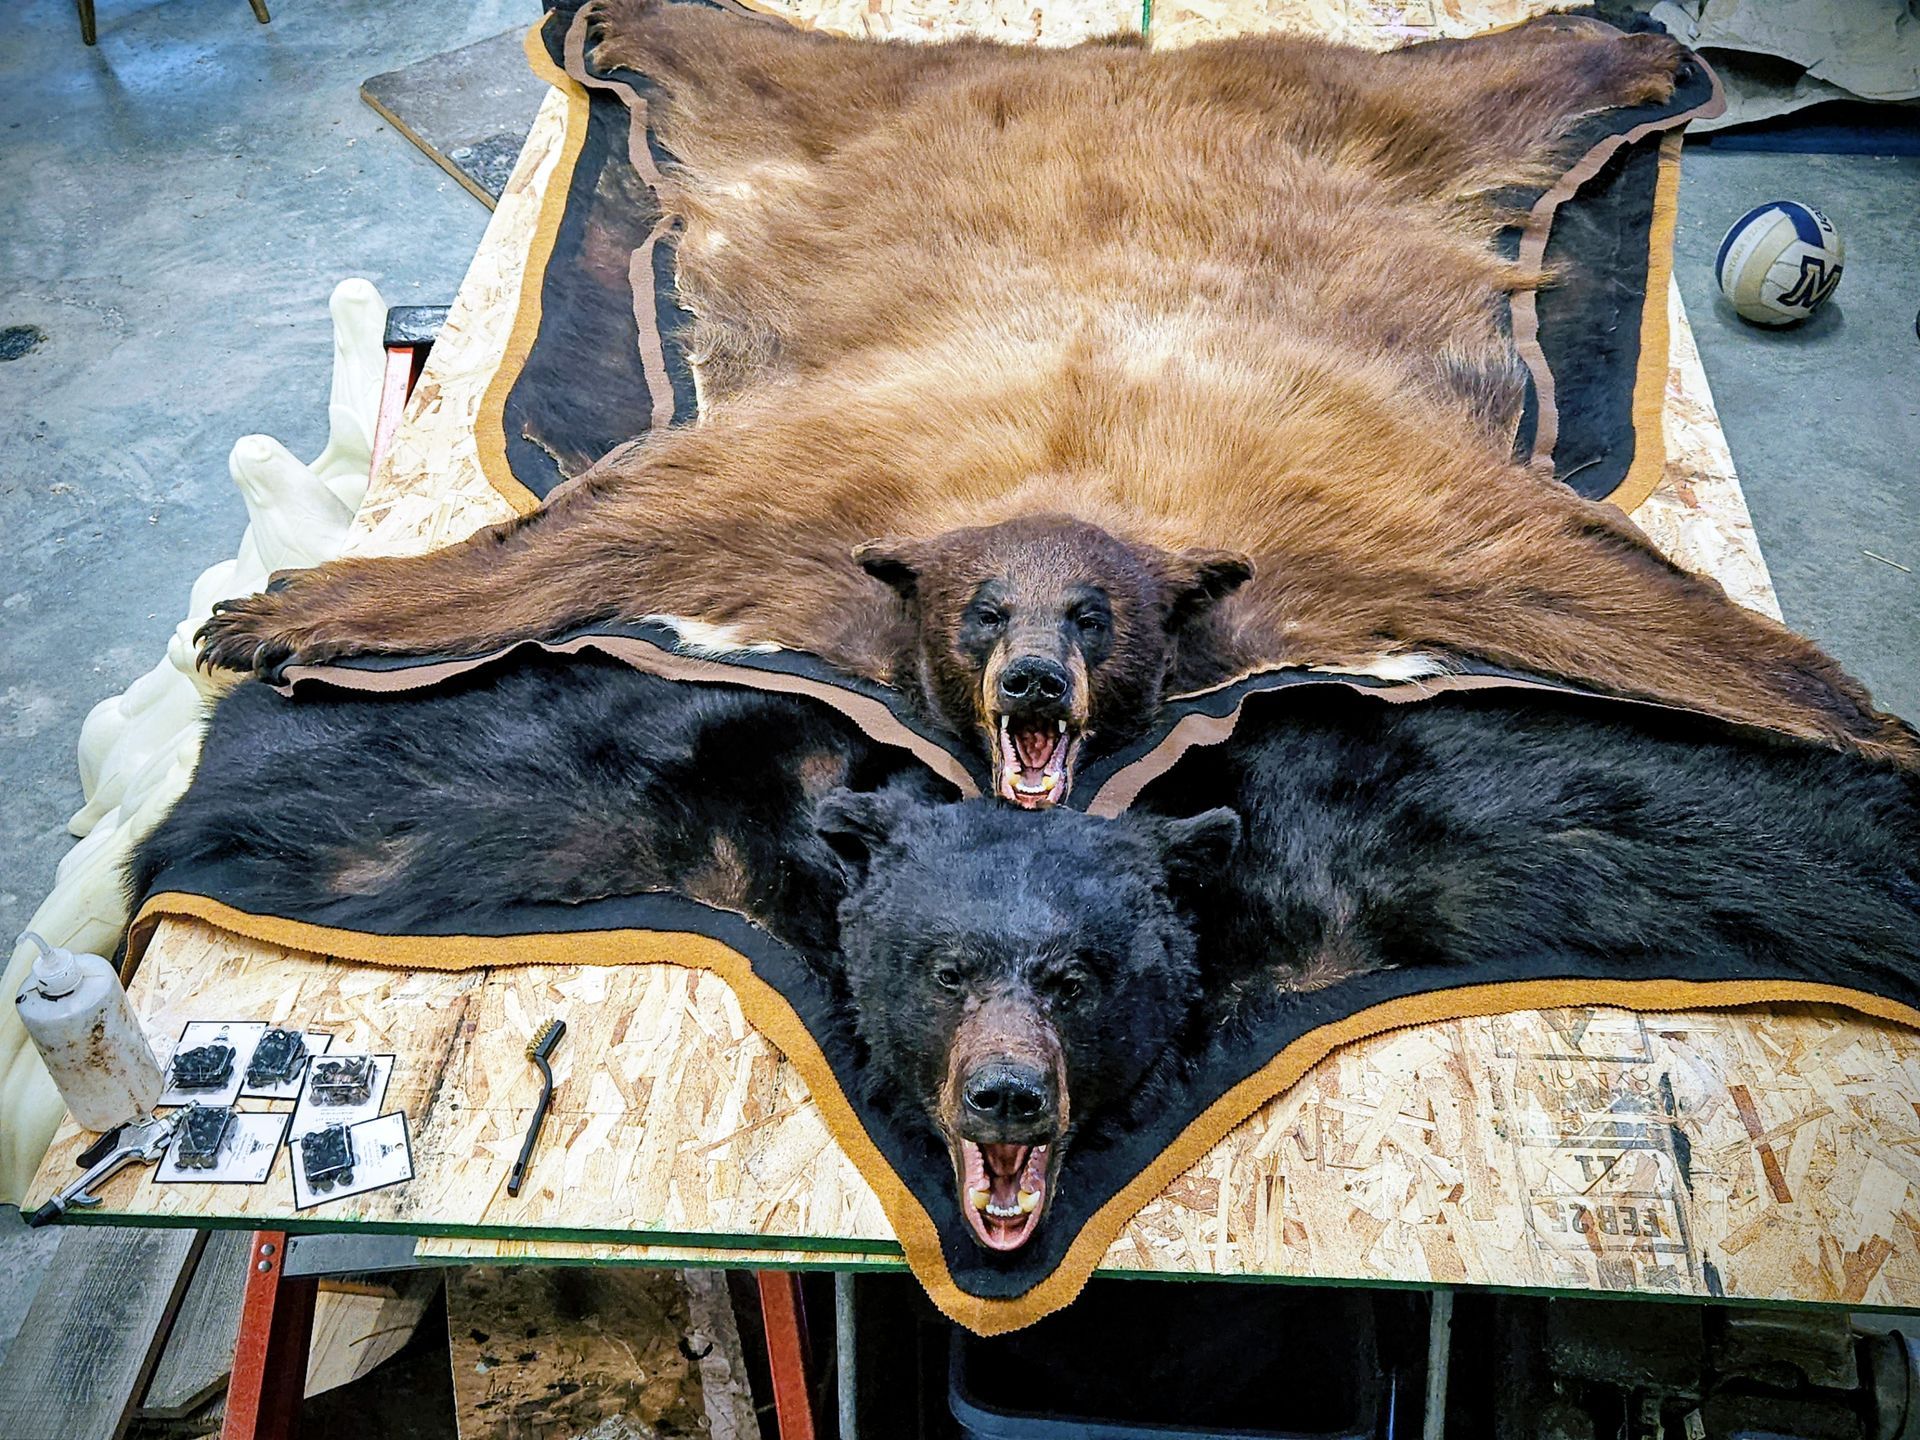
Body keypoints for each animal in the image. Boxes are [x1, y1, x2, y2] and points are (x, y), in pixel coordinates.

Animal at [195, 3, 1917, 797]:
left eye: (1096, 620)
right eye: (979, 619)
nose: (1033, 681)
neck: (1065, 480)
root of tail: (1112, 60)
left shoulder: (1335, 511)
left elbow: (1558, 574)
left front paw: (1863, 719)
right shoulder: (803, 495)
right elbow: (586, 536)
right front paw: (302, 606)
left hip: (1349, 125)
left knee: (1465, 87)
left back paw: (1633, 50)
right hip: (891, 108)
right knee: (778, 64)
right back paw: (622, 19)